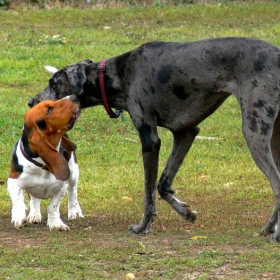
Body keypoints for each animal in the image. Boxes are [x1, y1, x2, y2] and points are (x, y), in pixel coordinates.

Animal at [6, 95, 83, 231]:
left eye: (54, 101)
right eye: (49, 110)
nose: (74, 96)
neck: (42, 165)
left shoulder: (61, 187)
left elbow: (53, 206)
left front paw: (56, 223)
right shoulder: (12, 181)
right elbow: (18, 197)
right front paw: (18, 215)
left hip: (73, 172)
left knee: (73, 191)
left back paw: (74, 211)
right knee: (34, 199)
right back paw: (34, 214)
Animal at [29, 37, 280, 242]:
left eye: (54, 83)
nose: (32, 101)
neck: (116, 74)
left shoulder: (149, 140)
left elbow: (148, 192)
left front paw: (143, 227)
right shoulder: (186, 132)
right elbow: (163, 184)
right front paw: (186, 212)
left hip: (254, 132)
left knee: (277, 183)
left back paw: (274, 233)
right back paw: (269, 228)